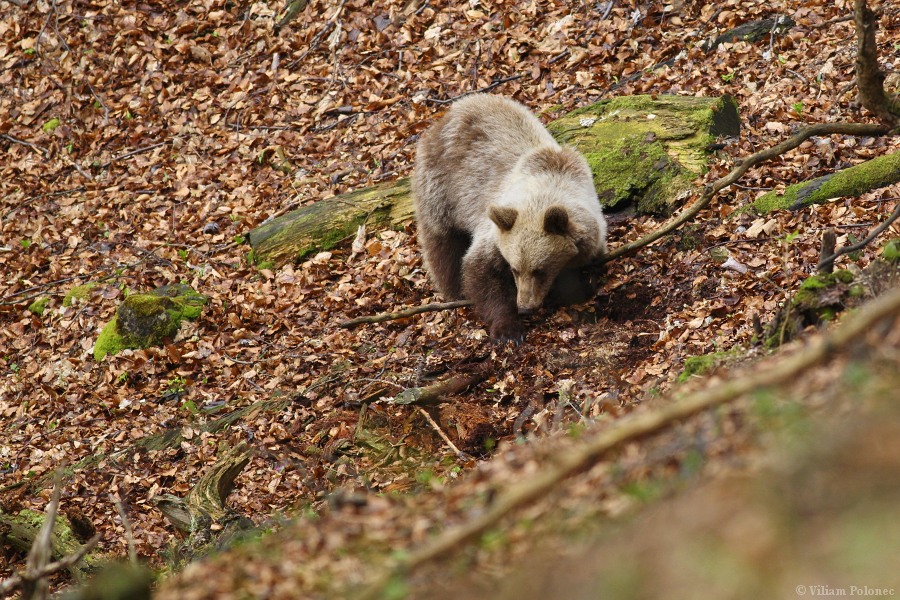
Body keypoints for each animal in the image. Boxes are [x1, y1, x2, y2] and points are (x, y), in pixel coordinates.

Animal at [412, 91, 608, 340]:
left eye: (539, 270)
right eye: (515, 268)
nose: (524, 306)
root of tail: (447, 113)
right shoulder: (496, 230)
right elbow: (482, 271)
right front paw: (508, 329)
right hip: (440, 189)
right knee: (443, 245)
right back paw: (454, 290)